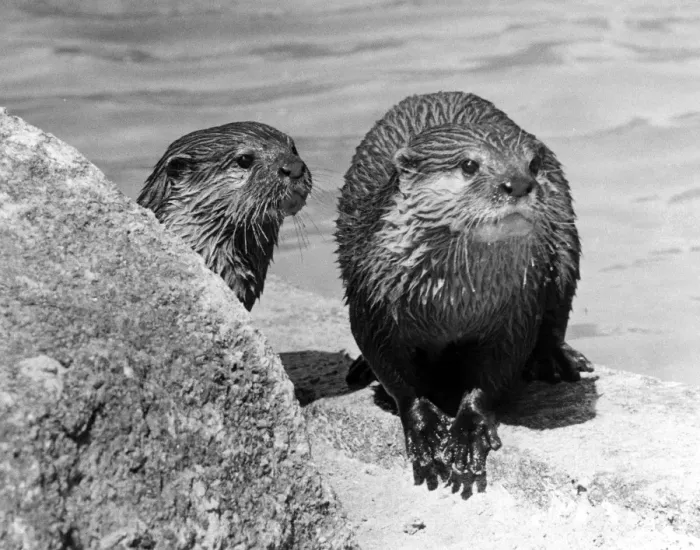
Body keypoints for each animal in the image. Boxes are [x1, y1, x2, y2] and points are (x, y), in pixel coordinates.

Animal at [335, 91, 593, 491]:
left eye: (532, 164)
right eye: (469, 164)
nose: (518, 184)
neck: (451, 305)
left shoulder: (517, 309)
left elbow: (494, 372)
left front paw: (468, 432)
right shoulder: (371, 301)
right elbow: (394, 372)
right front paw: (425, 430)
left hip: (564, 245)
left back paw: (555, 360)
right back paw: (360, 369)